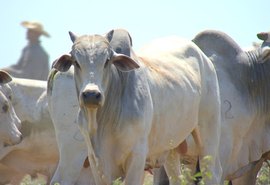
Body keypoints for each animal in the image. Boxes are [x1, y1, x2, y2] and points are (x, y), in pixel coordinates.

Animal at [50, 29, 221, 184]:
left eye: (107, 60)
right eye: (76, 62)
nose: (91, 94)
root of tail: (205, 59)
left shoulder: (137, 156)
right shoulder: (96, 161)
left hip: (208, 134)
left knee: (212, 171)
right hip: (170, 146)